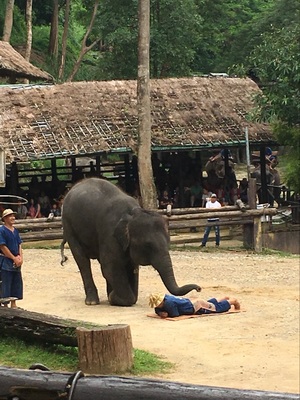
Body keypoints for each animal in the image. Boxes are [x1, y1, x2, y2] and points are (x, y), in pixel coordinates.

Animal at [60, 178, 202, 306]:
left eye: (168, 243)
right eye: (148, 245)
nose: (199, 288)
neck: (133, 212)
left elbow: (132, 268)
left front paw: (113, 297)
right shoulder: (109, 234)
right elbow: (111, 267)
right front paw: (114, 298)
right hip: (68, 225)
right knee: (82, 261)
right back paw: (92, 302)